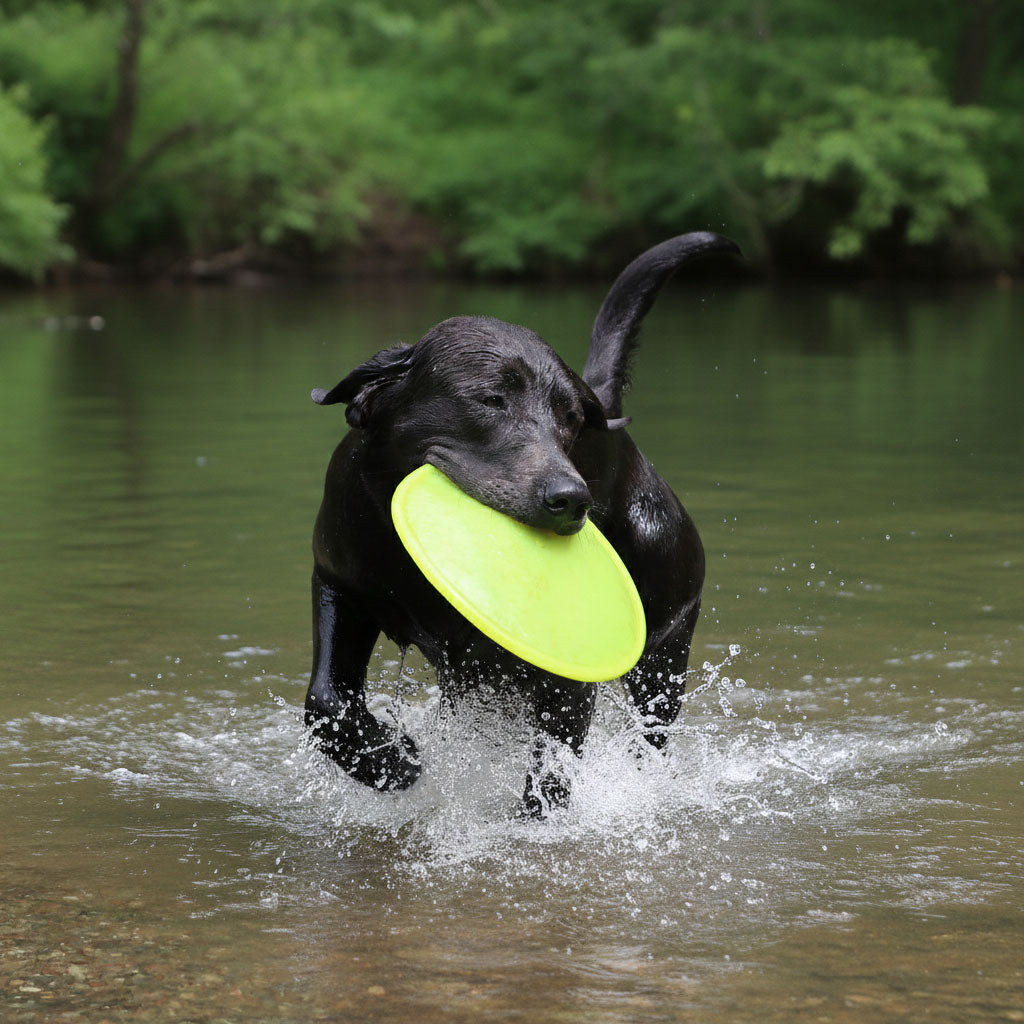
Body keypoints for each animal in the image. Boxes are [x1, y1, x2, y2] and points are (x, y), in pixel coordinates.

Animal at [305, 232, 739, 815]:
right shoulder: (340, 584)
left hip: (666, 643)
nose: (571, 499)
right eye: (491, 399)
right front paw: (392, 763)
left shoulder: (567, 676)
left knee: (649, 733)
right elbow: (325, 699)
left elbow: (551, 773)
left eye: (570, 419)